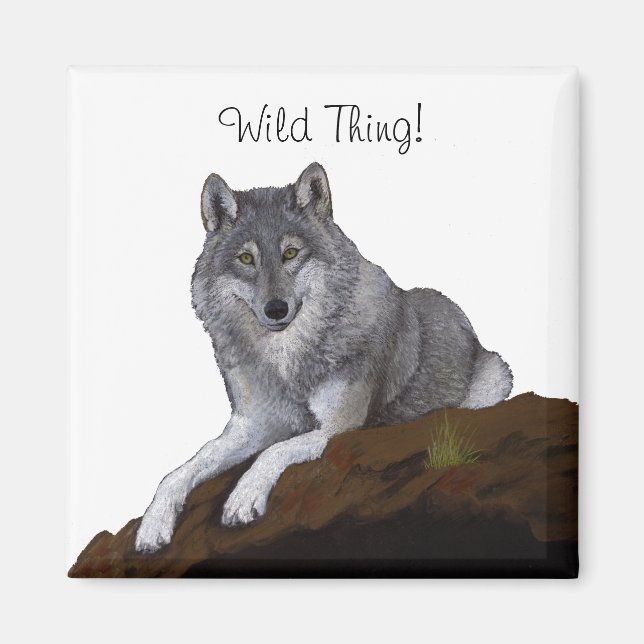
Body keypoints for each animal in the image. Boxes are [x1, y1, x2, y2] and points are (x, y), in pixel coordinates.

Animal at [134, 162, 512, 553]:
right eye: (246, 259)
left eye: (290, 254)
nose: (275, 309)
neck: (287, 363)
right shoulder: (252, 424)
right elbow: (185, 468)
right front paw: (153, 525)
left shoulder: (338, 428)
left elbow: (275, 451)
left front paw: (243, 498)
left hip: (496, 378)